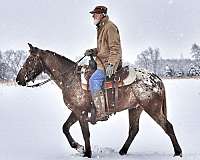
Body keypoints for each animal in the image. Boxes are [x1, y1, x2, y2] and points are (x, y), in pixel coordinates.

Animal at [16, 43, 183, 158]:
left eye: (29, 60)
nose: (18, 79)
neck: (69, 78)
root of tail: (156, 78)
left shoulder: (81, 113)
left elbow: (86, 133)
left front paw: (87, 153)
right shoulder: (76, 111)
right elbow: (65, 128)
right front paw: (79, 147)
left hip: (152, 108)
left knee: (167, 126)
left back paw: (178, 152)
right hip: (135, 108)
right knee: (133, 130)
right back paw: (122, 151)